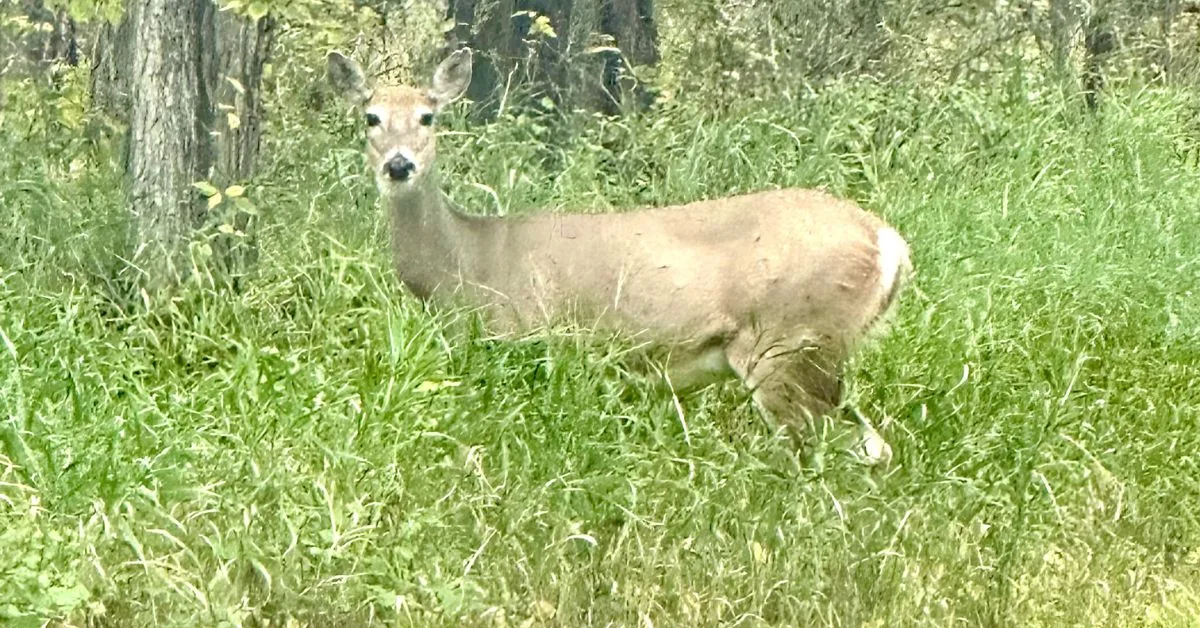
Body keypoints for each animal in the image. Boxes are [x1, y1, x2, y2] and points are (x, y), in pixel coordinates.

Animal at [327, 48, 912, 467]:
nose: (399, 165)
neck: (466, 269)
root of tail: (888, 242)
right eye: (371, 117)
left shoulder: (529, 341)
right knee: (872, 446)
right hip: (818, 354)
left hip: (785, 341)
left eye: (428, 117)